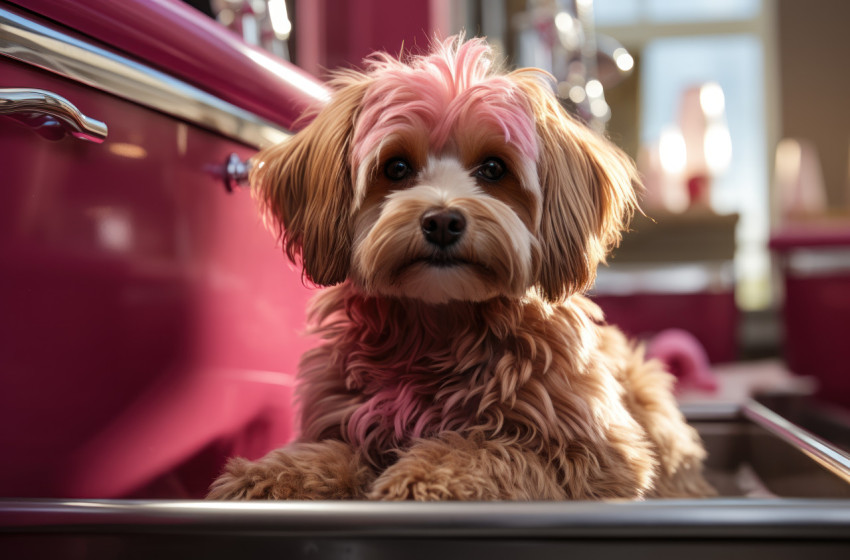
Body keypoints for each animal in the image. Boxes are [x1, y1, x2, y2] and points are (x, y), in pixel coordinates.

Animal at [209, 37, 712, 500]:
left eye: (493, 168)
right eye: (396, 167)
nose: (443, 221)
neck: (440, 325)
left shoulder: (595, 455)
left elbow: (490, 448)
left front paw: (426, 476)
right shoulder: (341, 416)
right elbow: (332, 451)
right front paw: (270, 475)